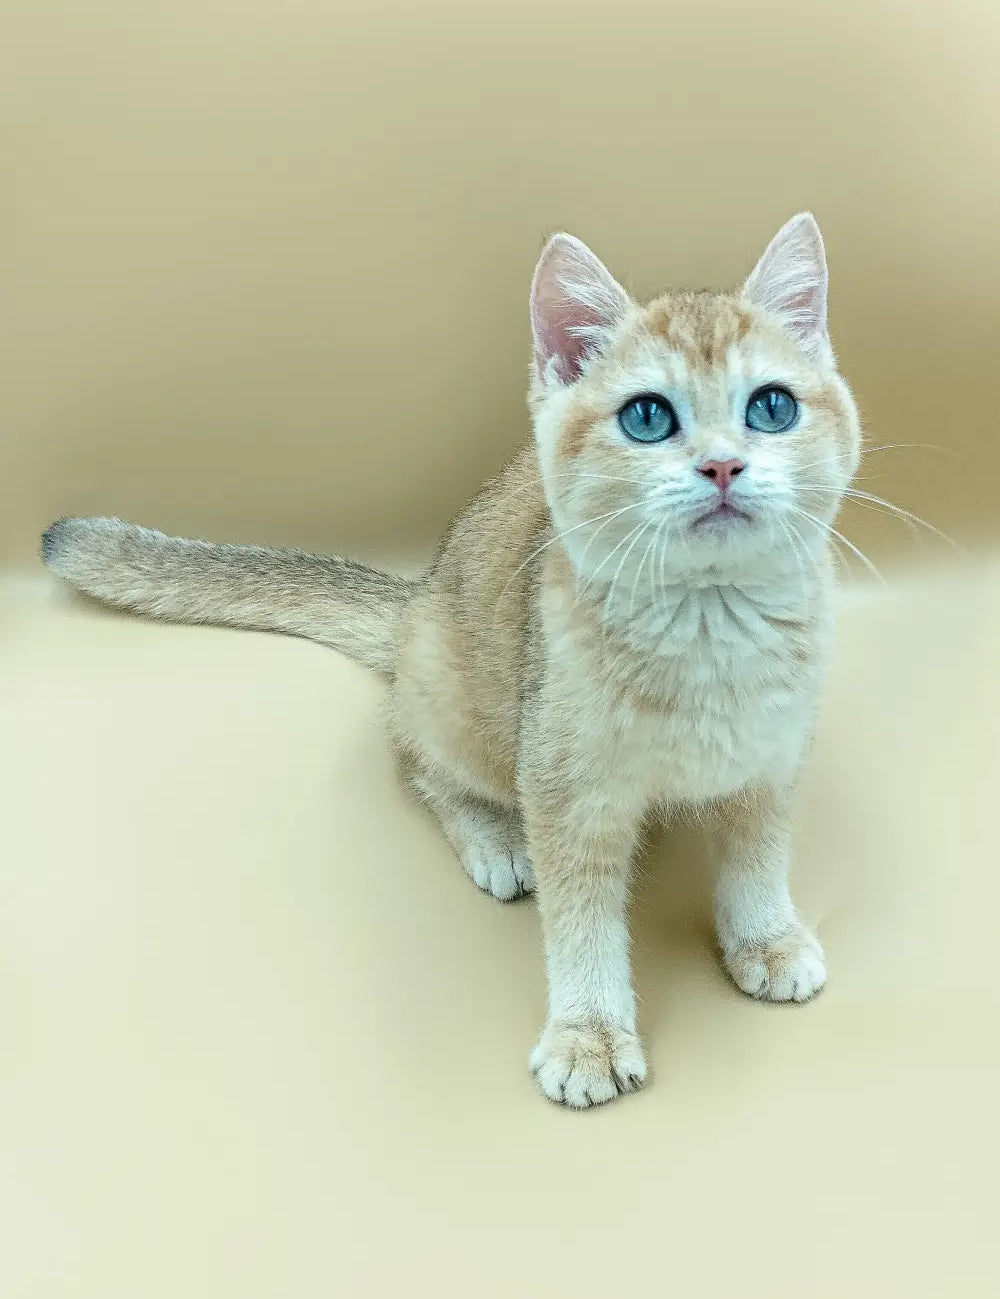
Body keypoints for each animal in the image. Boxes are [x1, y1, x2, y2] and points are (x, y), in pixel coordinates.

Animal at [42, 213, 862, 1106]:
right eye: (647, 418)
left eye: (772, 406)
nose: (722, 464)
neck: (710, 631)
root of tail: (416, 601)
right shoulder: (566, 790)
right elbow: (581, 924)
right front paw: (587, 1034)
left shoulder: (771, 759)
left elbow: (758, 857)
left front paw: (766, 938)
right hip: (461, 709)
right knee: (419, 760)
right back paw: (495, 837)